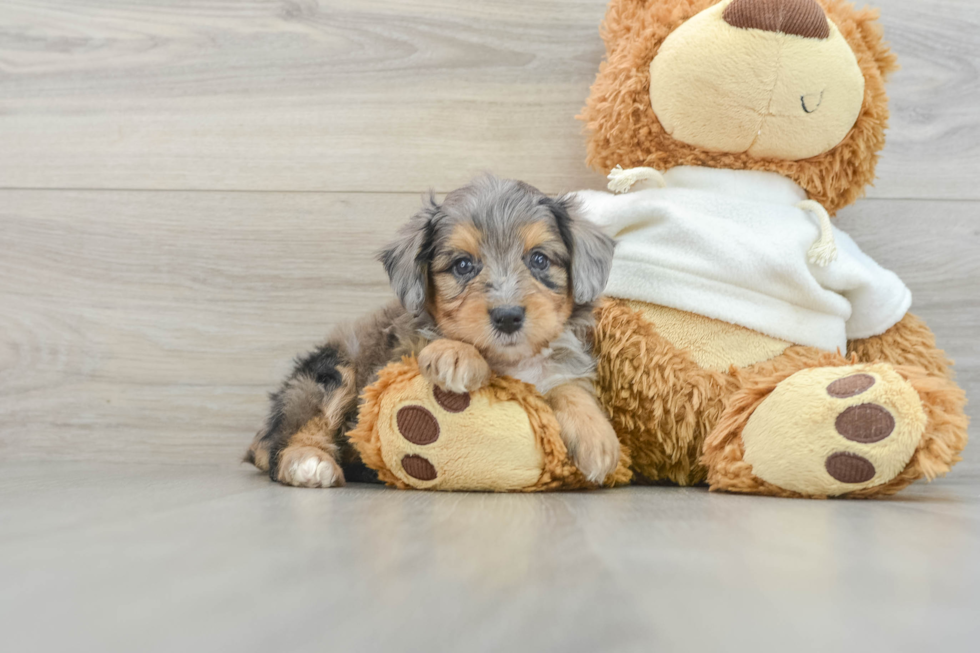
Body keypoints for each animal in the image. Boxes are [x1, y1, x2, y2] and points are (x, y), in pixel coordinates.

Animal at [245, 176, 616, 486]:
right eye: (463, 265)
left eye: (539, 260)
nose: (508, 317)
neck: (509, 362)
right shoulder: (395, 359)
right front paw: (456, 354)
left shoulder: (559, 366)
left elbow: (569, 386)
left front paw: (597, 436)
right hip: (329, 372)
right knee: (293, 434)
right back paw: (308, 461)